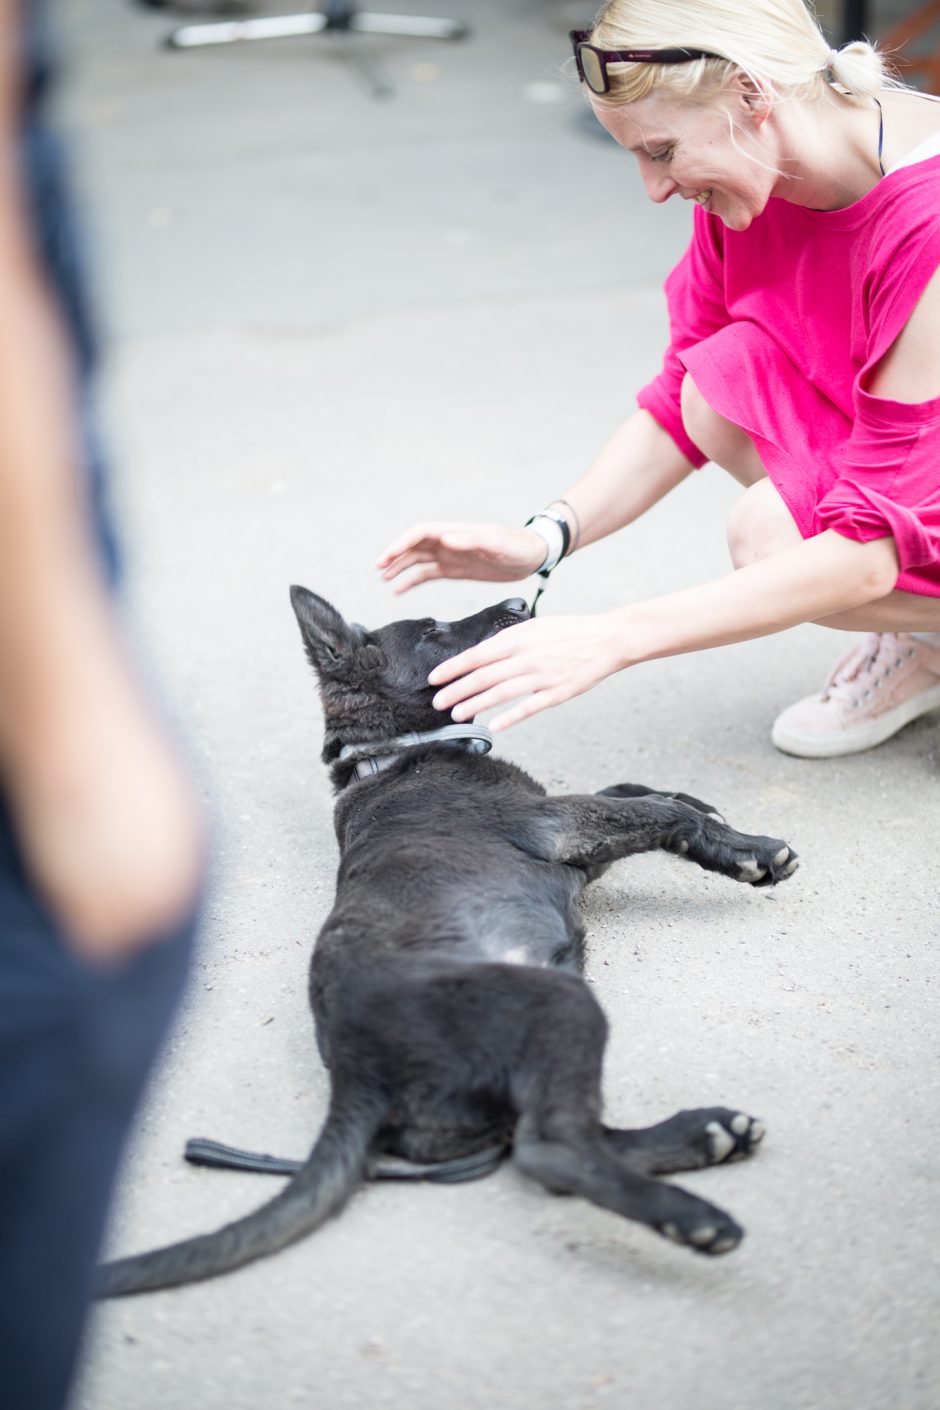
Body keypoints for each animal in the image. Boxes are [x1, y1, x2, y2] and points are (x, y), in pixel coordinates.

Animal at [99, 586, 800, 1297]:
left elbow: (635, 791)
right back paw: (693, 1215)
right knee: (552, 1151)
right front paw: (750, 850)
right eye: (432, 630)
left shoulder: (581, 846)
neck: (394, 750)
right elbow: (657, 812)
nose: (520, 598)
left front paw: (704, 809)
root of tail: (356, 1073)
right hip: (558, 1004)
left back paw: (707, 1137)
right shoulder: (557, 826)